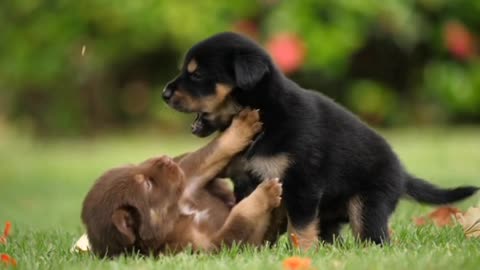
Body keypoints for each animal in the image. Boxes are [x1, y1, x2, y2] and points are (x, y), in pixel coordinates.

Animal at [80, 109, 280, 258]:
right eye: (147, 185)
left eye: (133, 167)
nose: (166, 159)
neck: (176, 215)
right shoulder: (211, 246)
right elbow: (240, 218)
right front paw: (266, 193)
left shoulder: (187, 179)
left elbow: (212, 151)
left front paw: (243, 124)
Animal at [163, 32, 478, 249]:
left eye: (196, 74)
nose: (164, 94)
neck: (266, 114)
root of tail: (402, 174)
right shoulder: (245, 181)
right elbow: (254, 212)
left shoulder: (302, 182)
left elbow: (299, 228)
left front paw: (302, 253)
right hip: (331, 215)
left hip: (369, 204)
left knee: (374, 237)